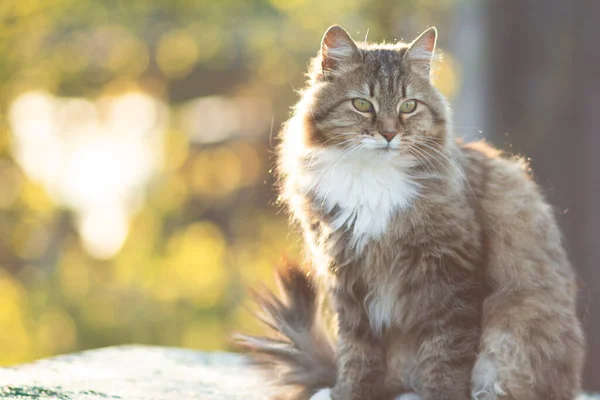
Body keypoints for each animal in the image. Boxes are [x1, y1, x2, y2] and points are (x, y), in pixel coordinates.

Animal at [237, 25, 584, 400]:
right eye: (362, 104)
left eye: (409, 106)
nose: (389, 134)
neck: (372, 181)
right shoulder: (347, 277)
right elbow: (357, 352)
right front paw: (350, 391)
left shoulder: (451, 274)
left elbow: (446, 352)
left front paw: (442, 393)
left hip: (513, 336)